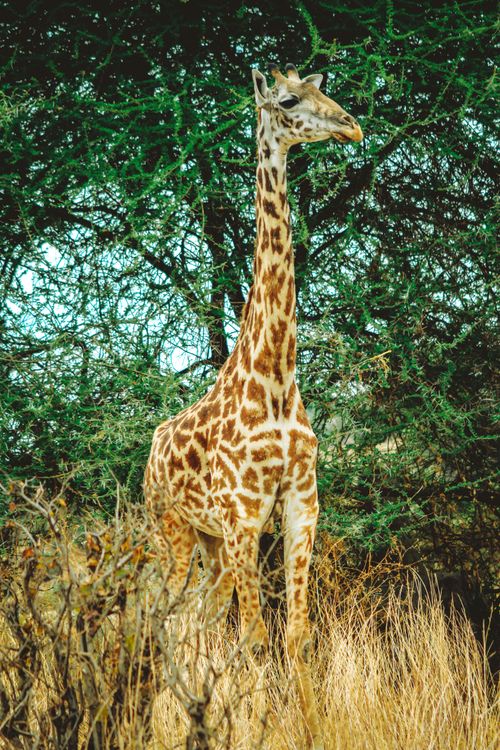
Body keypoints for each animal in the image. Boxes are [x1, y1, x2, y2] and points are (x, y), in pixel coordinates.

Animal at [144, 61, 363, 749]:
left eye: (325, 88)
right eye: (289, 101)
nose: (352, 125)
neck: (276, 375)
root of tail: (149, 453)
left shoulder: (300, 502)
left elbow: (294, 635)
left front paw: (310, 727)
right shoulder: (244, 515)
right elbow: (254, 638)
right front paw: (255, 725)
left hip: (211, 549)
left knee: (193, 620)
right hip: (173, 531)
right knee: (168, 619)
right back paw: (167, 714)